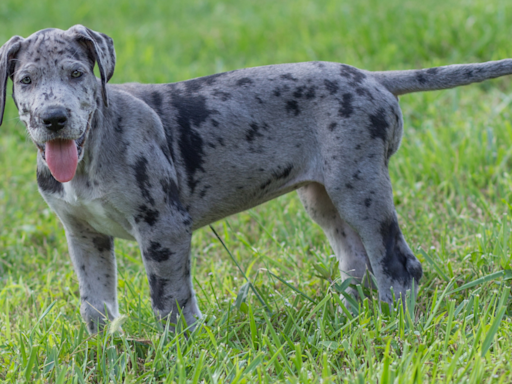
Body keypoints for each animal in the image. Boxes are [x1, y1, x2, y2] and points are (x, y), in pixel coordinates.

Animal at [1, 26, 512, 332]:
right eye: (25, 80)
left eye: (76, 73)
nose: (53, 118)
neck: (90, 154)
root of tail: (373, 77)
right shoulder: (83, 236)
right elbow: (96, 305)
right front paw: (107, 352)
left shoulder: (163, 227)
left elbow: (168, 299)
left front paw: (176, 350)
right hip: (322, 197)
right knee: (357, 260)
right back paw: (349, 314)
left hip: (359, 188)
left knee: (397, 264)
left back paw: (392, 325)